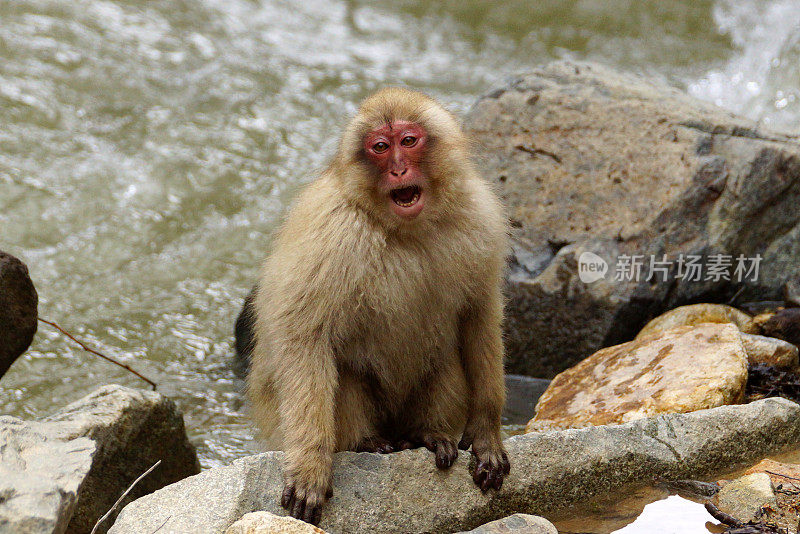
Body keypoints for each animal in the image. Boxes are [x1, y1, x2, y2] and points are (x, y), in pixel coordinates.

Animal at [244, 89, 510, 528]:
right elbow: (304, 337)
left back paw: (427, 434)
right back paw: (365, 441)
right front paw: (310, 465)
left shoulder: (480, 217)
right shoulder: (332, 233)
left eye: (409, 140)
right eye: (380, 148)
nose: (399, 170)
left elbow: (480, 316)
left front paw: (487, 432)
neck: (405, 230)